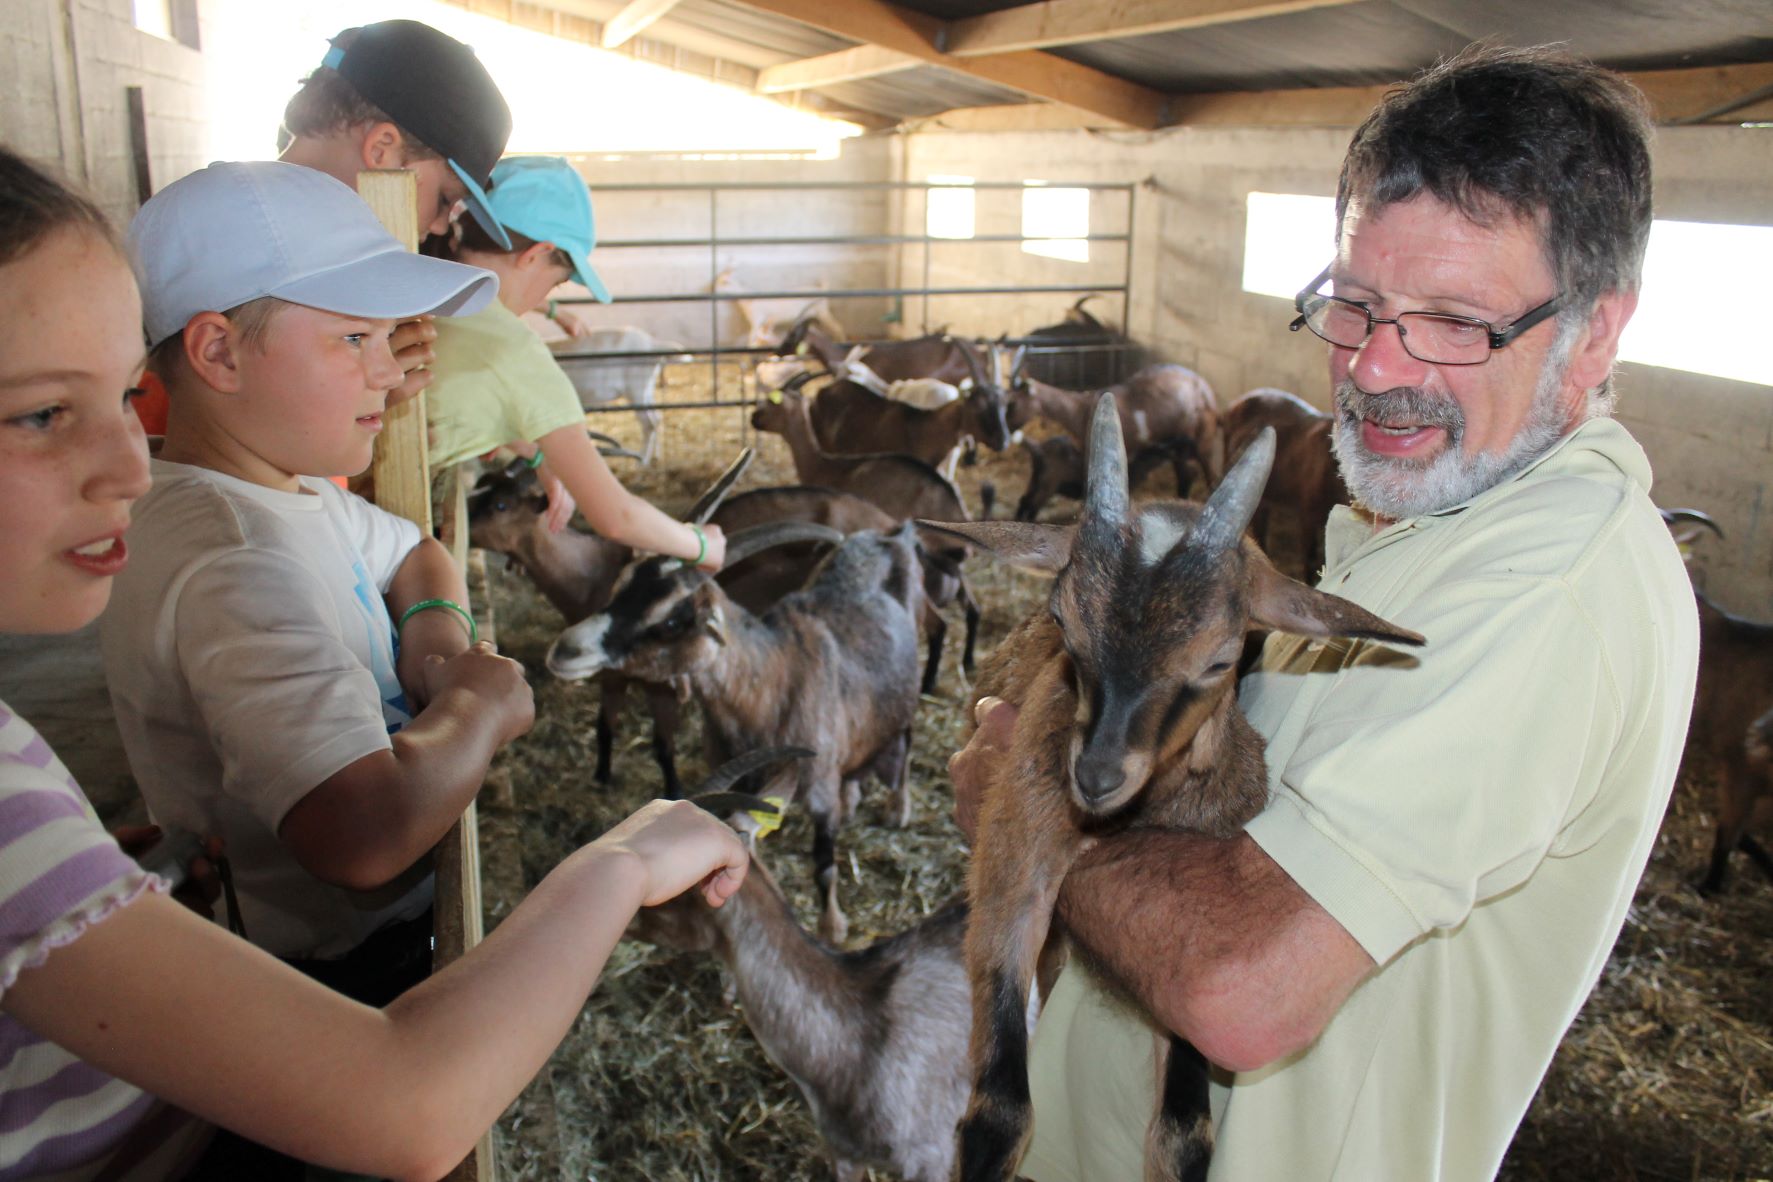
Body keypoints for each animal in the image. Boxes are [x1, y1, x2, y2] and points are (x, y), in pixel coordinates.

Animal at [542, 517, 929, 942]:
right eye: (620, 587)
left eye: (672, 620)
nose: (566, 650)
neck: (774, 680)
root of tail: (892, 534)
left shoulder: (819, 786)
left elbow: (824, 866)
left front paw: (833, 928)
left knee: (906, 737)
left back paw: (898, 809)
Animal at [921, 400, 1418, 1182]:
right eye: (1063, 619)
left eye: (1220, 657)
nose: (1095, 775)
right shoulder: (1016, 859)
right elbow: (998, 1113)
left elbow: (1183, 1133)